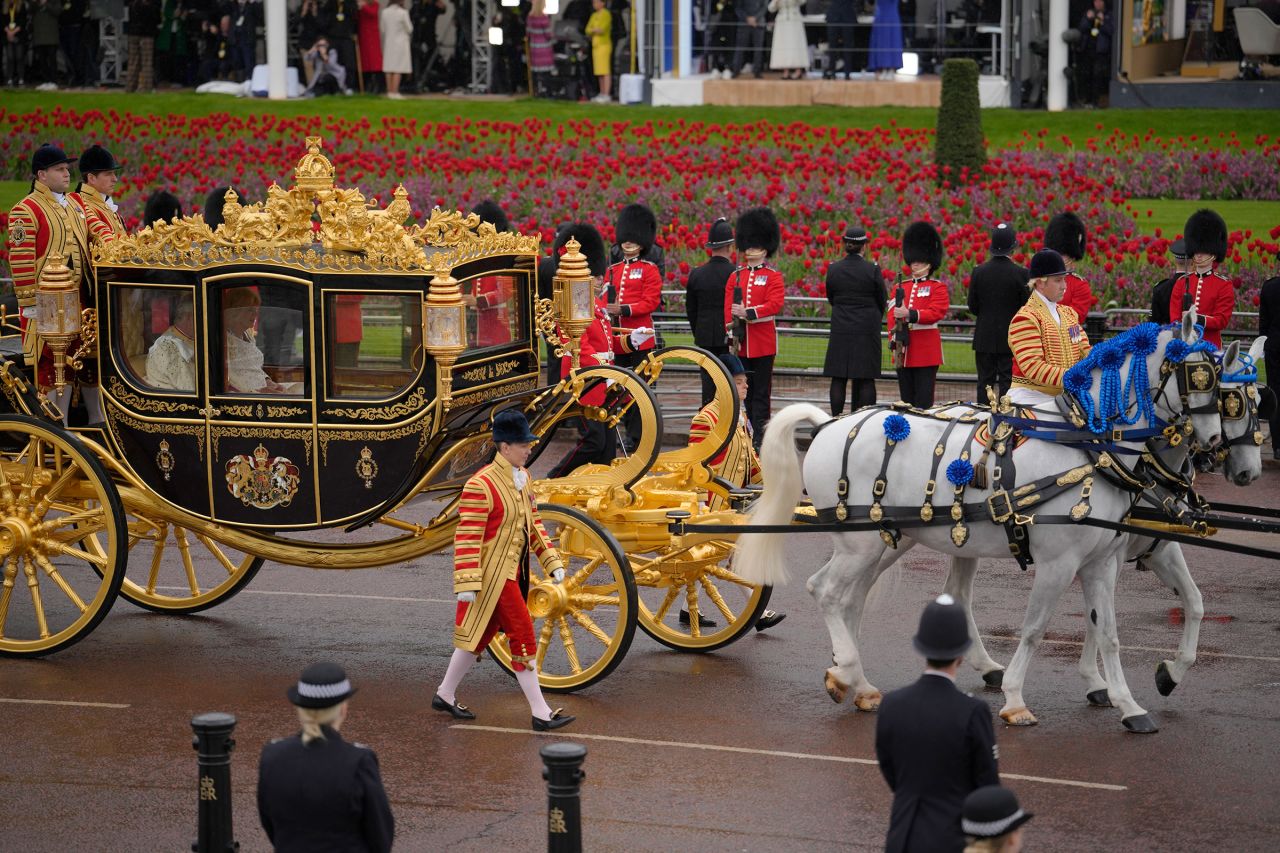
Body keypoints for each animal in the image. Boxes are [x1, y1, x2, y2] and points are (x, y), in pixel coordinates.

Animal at [737, 315, 1254, 727]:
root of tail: (829, 424)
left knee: (853, 598)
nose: (1218, 448)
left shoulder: (1104, 561)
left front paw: (1130, 704)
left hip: (885, 539)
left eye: (1236, 392)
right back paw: (848, 668)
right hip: (864, 544)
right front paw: (1017, 700)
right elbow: (1036, 626)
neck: (1091, 451)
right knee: (826, 591)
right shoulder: (1059, 562)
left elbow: (1111, 631)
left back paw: (856, 682)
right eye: (1202, 376)